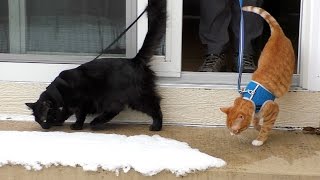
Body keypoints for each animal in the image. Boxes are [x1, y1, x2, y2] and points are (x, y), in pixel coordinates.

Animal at [26, 0, 166, 130]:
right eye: (38, 121)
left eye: (43, 119)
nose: (43, 127)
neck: (60, 93)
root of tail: (134, 60)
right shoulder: (68, 106)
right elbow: (63, 114)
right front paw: (58, 122)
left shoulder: (82, 102)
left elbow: (79, 115)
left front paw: (76, 126)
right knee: (117, 109)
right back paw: (97, 122)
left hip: (135, 97)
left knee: (153, 106)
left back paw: (156, 126)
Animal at [220, 6, 296, 146]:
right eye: (229, 128)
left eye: (236, 130)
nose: (232, 134)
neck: (250, 98)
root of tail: (277, 34)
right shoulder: (256, 112)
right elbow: (256, 121)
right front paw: (258, 127)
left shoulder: (272, 108)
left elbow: (266, 127)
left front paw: (260, 139)